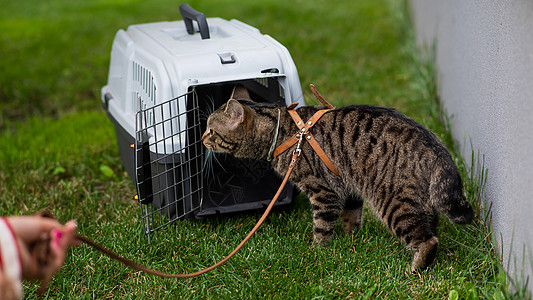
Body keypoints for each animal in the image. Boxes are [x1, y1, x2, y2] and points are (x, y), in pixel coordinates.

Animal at [202, 85, 472, 270]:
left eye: (211, 130)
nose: (202, 138)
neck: (283, 133)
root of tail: (437, 147)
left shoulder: (323, 191)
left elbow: (322, 226)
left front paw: (317, 253)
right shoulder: (349, 186)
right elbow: (351, 217)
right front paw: (352, 240)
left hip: (394, 203)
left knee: (428, 240)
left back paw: (415, 268)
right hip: (420, 202)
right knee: (430, 228)